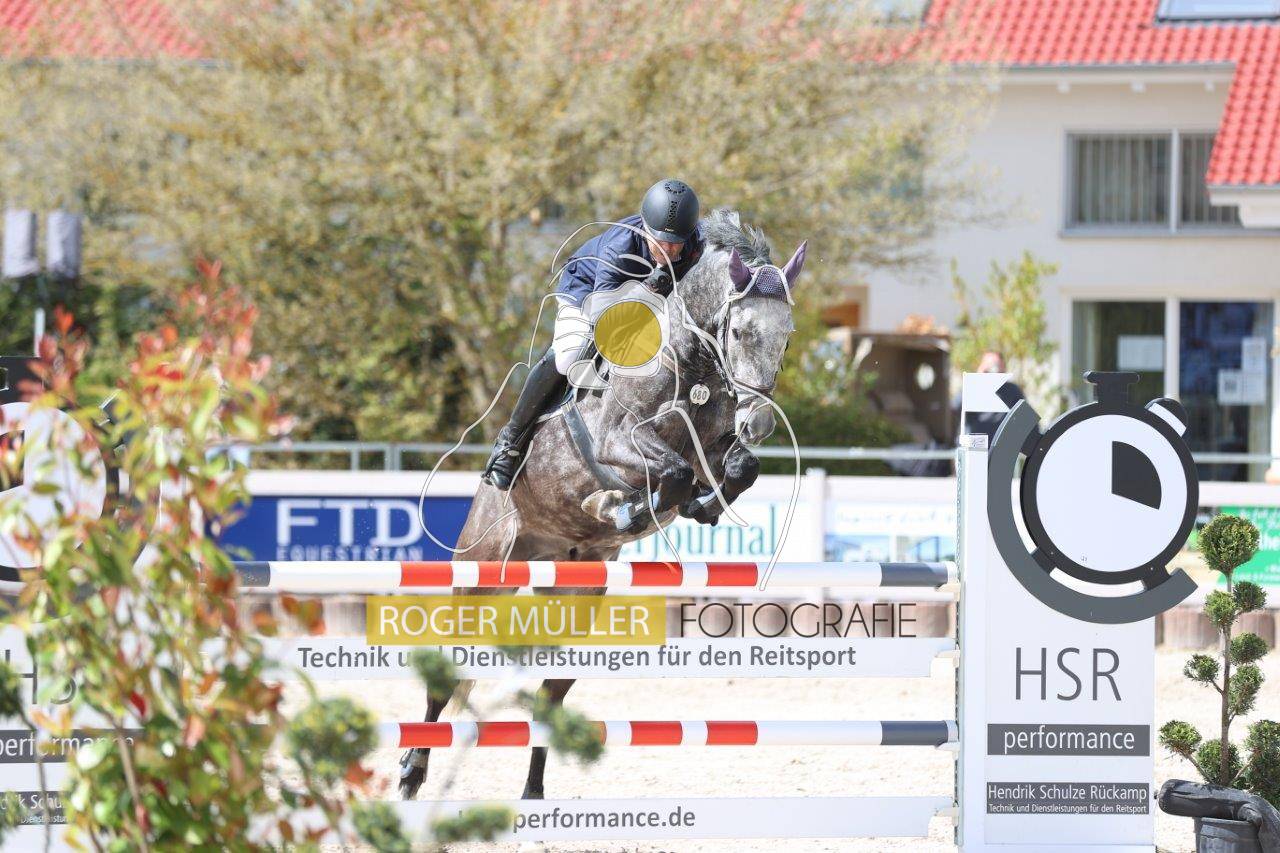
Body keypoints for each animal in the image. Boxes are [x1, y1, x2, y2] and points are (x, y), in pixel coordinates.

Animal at [399, 209, 807, 800]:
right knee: (447, 674)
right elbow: (673, 473)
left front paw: (691, 506)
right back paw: (411, 772)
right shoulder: (617, 440)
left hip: (577, 593)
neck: (690, 364)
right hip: (481, 571)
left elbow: (734, 470)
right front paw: (619, 506)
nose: (759, 422)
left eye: (787, 337)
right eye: (741, 331)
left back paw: (533, 793)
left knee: (549, 692)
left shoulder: (711, 446)